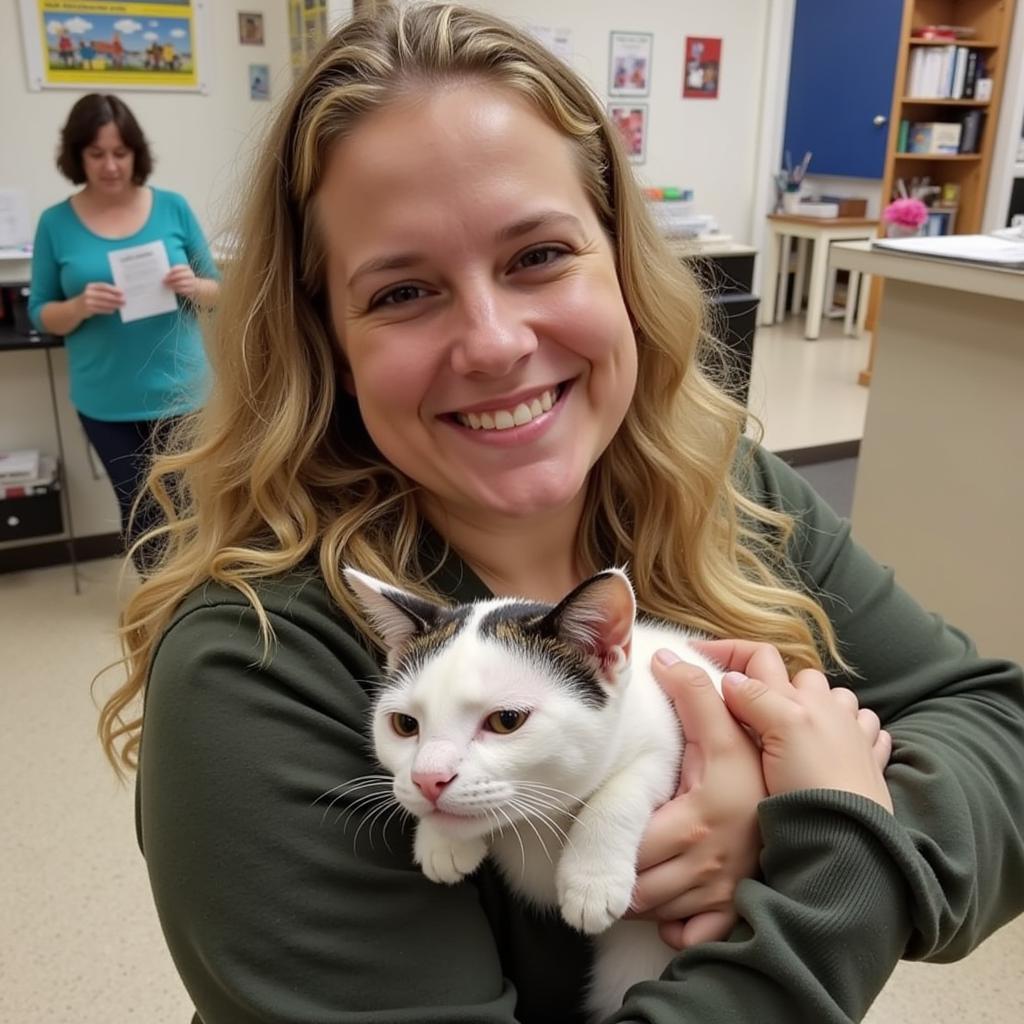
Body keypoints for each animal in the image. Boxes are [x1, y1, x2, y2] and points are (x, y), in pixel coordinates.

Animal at [346, 565, 729, 1019]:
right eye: (405, 725)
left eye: (506, 720)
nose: (429, 778)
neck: (541, 817)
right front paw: (441, 840)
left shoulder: (671, 725)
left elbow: (630, 781)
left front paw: (592, 878)